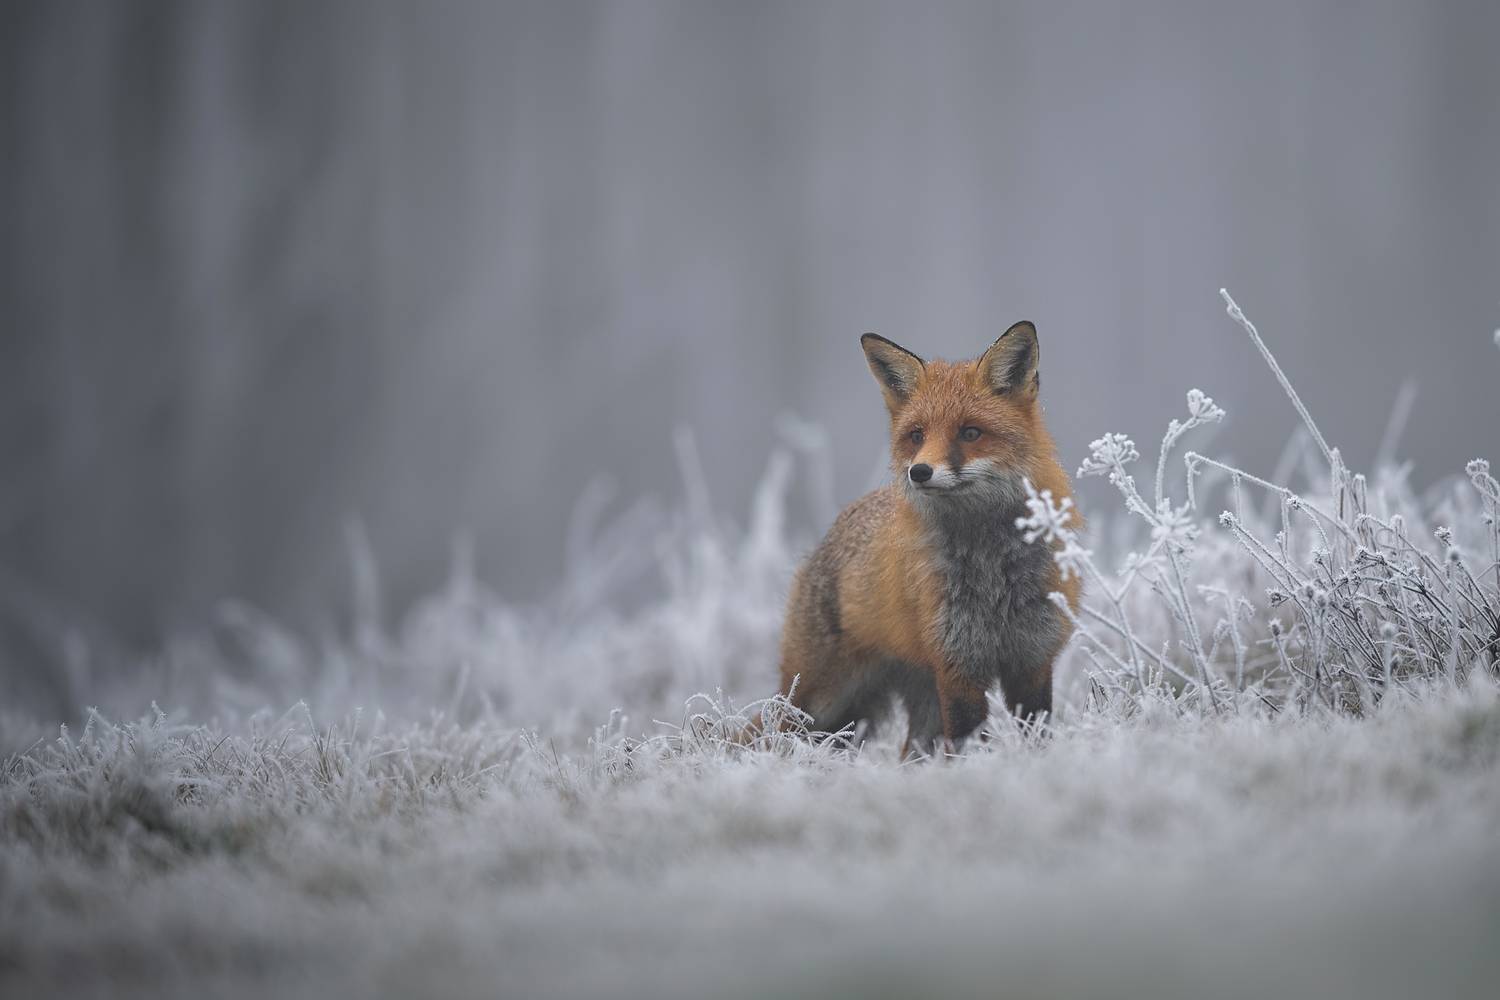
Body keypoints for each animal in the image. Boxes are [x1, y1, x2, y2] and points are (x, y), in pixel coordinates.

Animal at [772, 321, 1081, 755]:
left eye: (970, 432)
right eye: (917, 435)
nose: (919, 472)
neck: (992, 571)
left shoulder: (1032, 659)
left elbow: (1036, 733)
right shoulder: (956, 666)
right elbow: (967, 740)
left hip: (915, 705)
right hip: (818, 698)